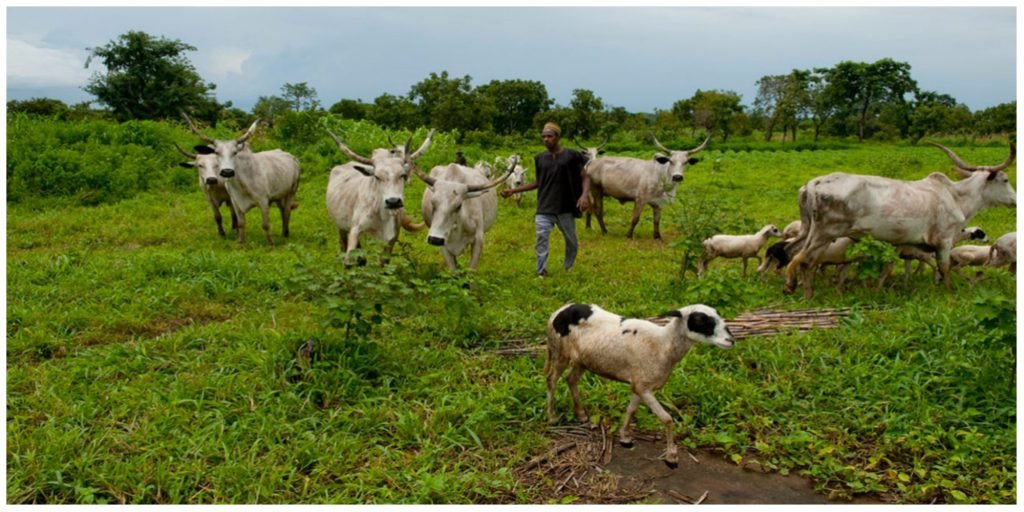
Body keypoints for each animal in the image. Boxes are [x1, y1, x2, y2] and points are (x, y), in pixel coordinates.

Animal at [325, 129, 434, 264]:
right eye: (376, 177)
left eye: (402, 175)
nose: (393, 202)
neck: (381, 215)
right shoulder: (355, 229)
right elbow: (349, 260)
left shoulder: (391, 238)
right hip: (341, 226)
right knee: (343, 245)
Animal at [544, 303, 737, 468]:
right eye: (700, 319)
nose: (731, 341)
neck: (663, 345)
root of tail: (561, 310)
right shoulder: (644, 388)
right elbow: (667, 418)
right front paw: (671, 457)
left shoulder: (639, 384)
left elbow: (631, 410)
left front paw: (625, 437)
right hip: (559, 350)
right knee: (551, 380)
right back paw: (552, 417)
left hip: (583, 360)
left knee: (571, 380)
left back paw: (581, 414)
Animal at [782, 142, 1015, 299]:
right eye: (1005, 179)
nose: (1015, 200)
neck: (956, 197)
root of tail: (815, 182)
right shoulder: (944, 241)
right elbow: (944, 268)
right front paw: (949, 291)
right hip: (824, 233)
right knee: (805, 260)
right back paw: (801, 291)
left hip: (807, 229)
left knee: (791, 251)